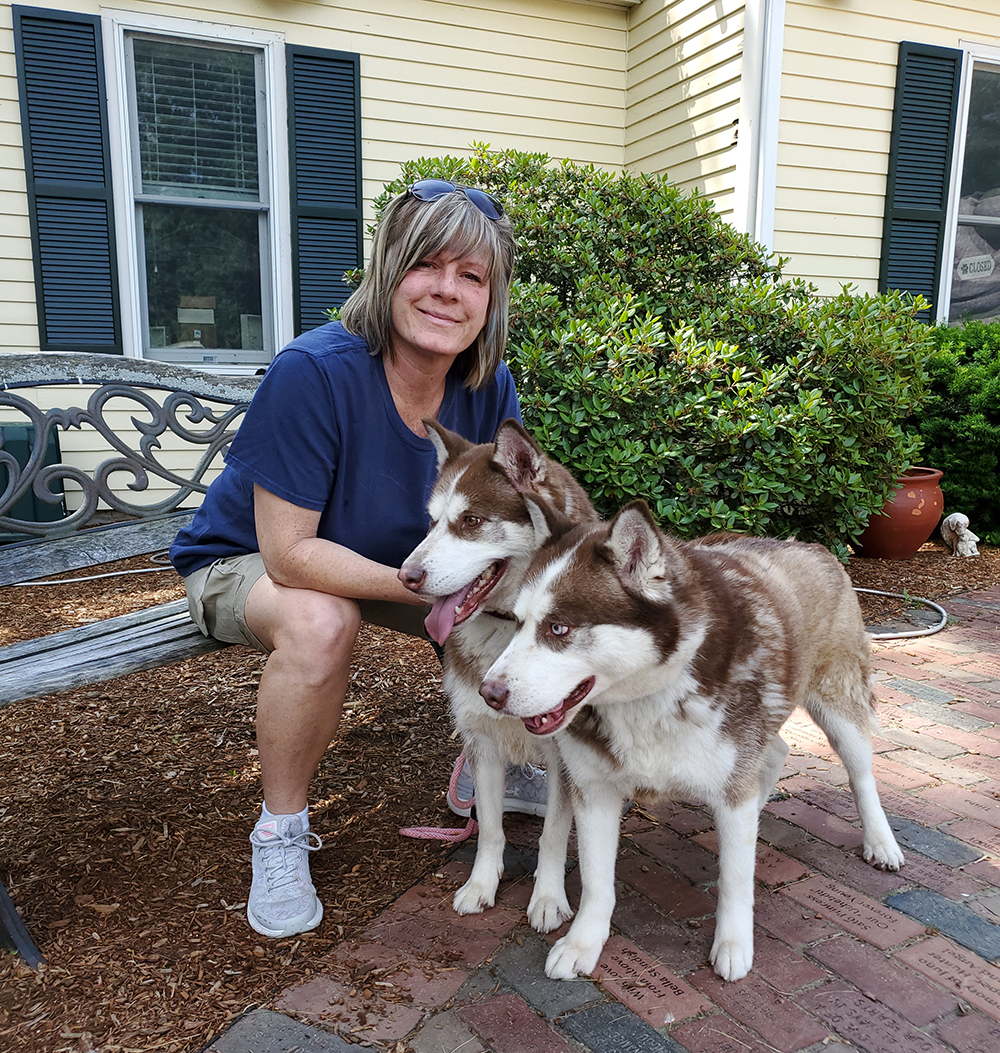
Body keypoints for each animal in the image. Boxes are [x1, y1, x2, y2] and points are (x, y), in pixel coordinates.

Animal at [399, 419, 597, 930]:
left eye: (470, 521)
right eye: (432, 522)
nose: (405, 576)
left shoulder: (563, 757)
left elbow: (553, 835)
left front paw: (547, 897)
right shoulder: (482, 743)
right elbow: (489, 827)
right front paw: (481, 885)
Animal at [479, 497, 904, 982]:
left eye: (559, 628)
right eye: (517, 623)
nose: (488, 693)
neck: (647, 697)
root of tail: (811, 546)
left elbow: (735, 879)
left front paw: (734, 944)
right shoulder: (594, 790)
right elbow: (595, 883)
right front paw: (583, 942)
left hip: (838, 707)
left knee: (860, 773)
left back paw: (880, 842)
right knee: (773, 753)